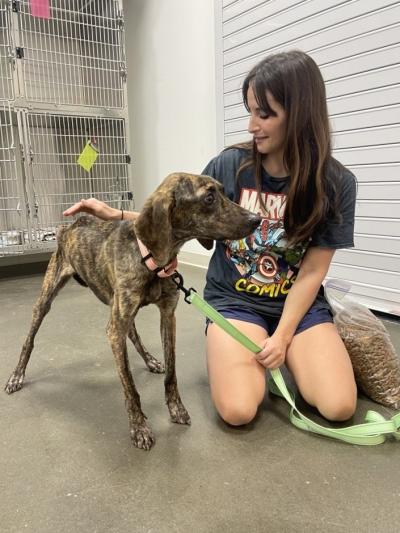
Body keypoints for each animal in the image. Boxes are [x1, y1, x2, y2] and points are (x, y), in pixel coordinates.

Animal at [4, 174, 260, 448]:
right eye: (209, 198)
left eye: (223, 191)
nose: (256, 219)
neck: (150, 259)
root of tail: (71, 225)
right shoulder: (115, 327)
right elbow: (129, 384)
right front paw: (139, 426)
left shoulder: (167, 316)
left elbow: (171, 374)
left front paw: (176, 408)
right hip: (47, 299)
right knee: (29, 340)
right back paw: (16, 376)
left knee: (134, 333)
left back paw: (150, 359)